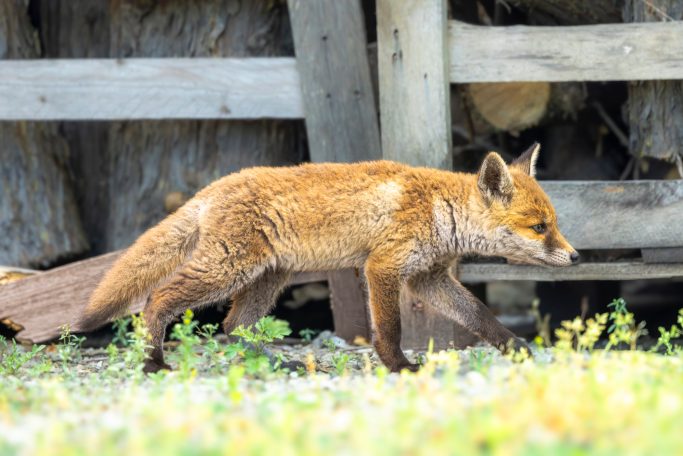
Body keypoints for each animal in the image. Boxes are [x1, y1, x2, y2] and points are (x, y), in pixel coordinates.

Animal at [83, 144, 580, 372]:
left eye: (553, 223)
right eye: (540, 228)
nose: (575, 257)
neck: (439, 209)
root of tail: (214, 186)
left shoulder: (428, 278)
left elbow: (480, 315)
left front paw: (515, 348)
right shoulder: (382, 267)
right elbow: (390, 328)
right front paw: (399, 367)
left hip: (267, 279)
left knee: (233, 326)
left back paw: (274, 364)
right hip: (226, 270)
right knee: (158, 299)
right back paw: (153, 361)